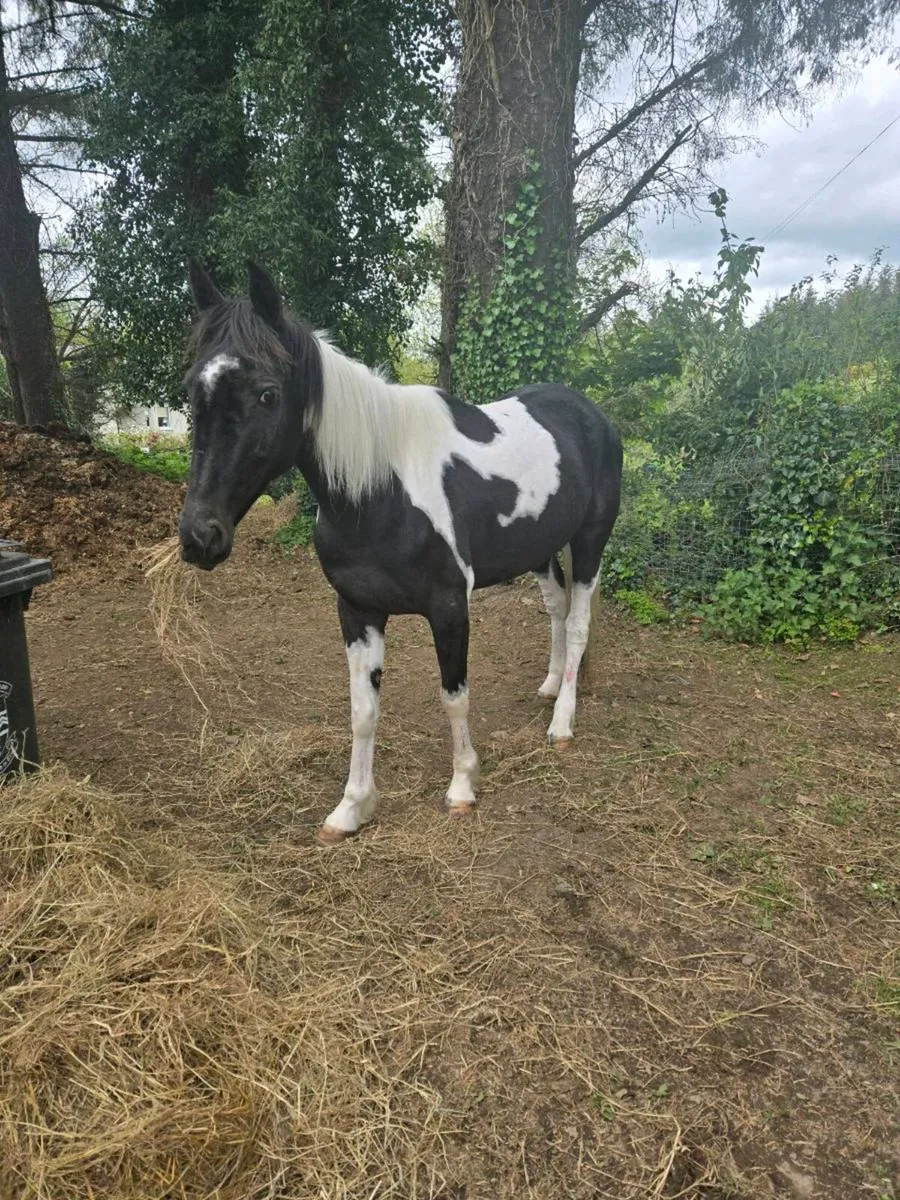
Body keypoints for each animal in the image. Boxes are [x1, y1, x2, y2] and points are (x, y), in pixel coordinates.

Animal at [179, 261, 623, 845]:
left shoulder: (450, 606)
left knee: (577, 623)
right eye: (191, 388)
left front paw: (462, 787)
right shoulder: (357, 611)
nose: (199, 537)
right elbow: (363, 711)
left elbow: (454, 696)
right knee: (556, 607)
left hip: (590, 540)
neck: (378, 492)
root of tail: (592, 413)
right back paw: (551, 686)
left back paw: (562, 724)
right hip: (541, 549)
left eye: (267, 394)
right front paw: (352, 807)